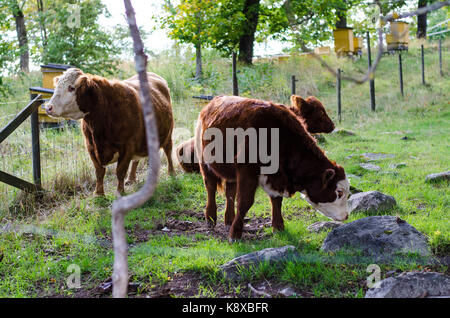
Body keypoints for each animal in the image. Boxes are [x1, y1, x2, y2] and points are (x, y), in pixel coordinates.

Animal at [45, 68, 175, 195]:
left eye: (71, 88)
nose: (48, 107)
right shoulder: (90, 147)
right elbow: (99, 171)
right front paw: (98, 193)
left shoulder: (128, 146)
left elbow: (120, 171)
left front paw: (120, 192)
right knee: (136, 159)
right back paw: (131, 179)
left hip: (168, 133)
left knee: (168, 151)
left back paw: (171, 173)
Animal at [195, 96, 350, 241]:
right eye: (339, 192)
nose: (346, 216)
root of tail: (212, 102)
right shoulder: (247, 172)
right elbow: (245, 202)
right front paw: (235, 234)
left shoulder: (277, 176)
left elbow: (276, 201)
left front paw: (278, 227)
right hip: (204, 162)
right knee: (210, 187)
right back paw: (211, 219)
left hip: (230, 172)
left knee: (230, 193)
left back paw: (228, 220)